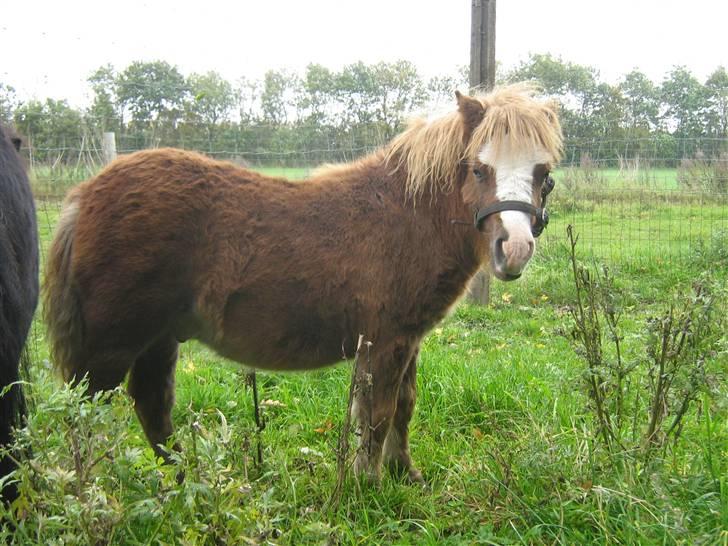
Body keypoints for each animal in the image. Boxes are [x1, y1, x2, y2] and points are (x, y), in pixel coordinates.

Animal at [44, 87, 564, 482]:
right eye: (478, 168)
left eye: (545, 175)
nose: (514, 249)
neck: (406, 216)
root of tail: (85, 194)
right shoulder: (386, 340)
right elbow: (376, 415)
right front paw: (369, 486)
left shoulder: (408, 339)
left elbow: (402, 407)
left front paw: (404, 475)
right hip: (109, 350)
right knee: (87, 416)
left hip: (156, 340)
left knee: (152, 409)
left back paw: (184, 480)